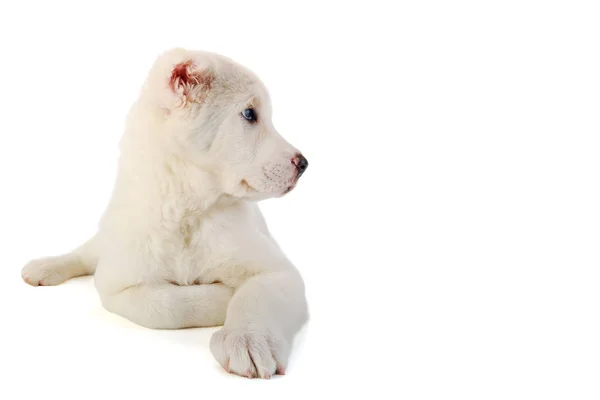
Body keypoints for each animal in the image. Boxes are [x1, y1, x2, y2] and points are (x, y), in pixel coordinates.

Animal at [21, 48, 310, 380]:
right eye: (250, 114)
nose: (304, 164)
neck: (187, 213)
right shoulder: (116, 285)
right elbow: (164, 306)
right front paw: (222, 297)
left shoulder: (277, 270)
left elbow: (257, 295)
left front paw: (248, 338)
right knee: (85, 253)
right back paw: (45, 266)